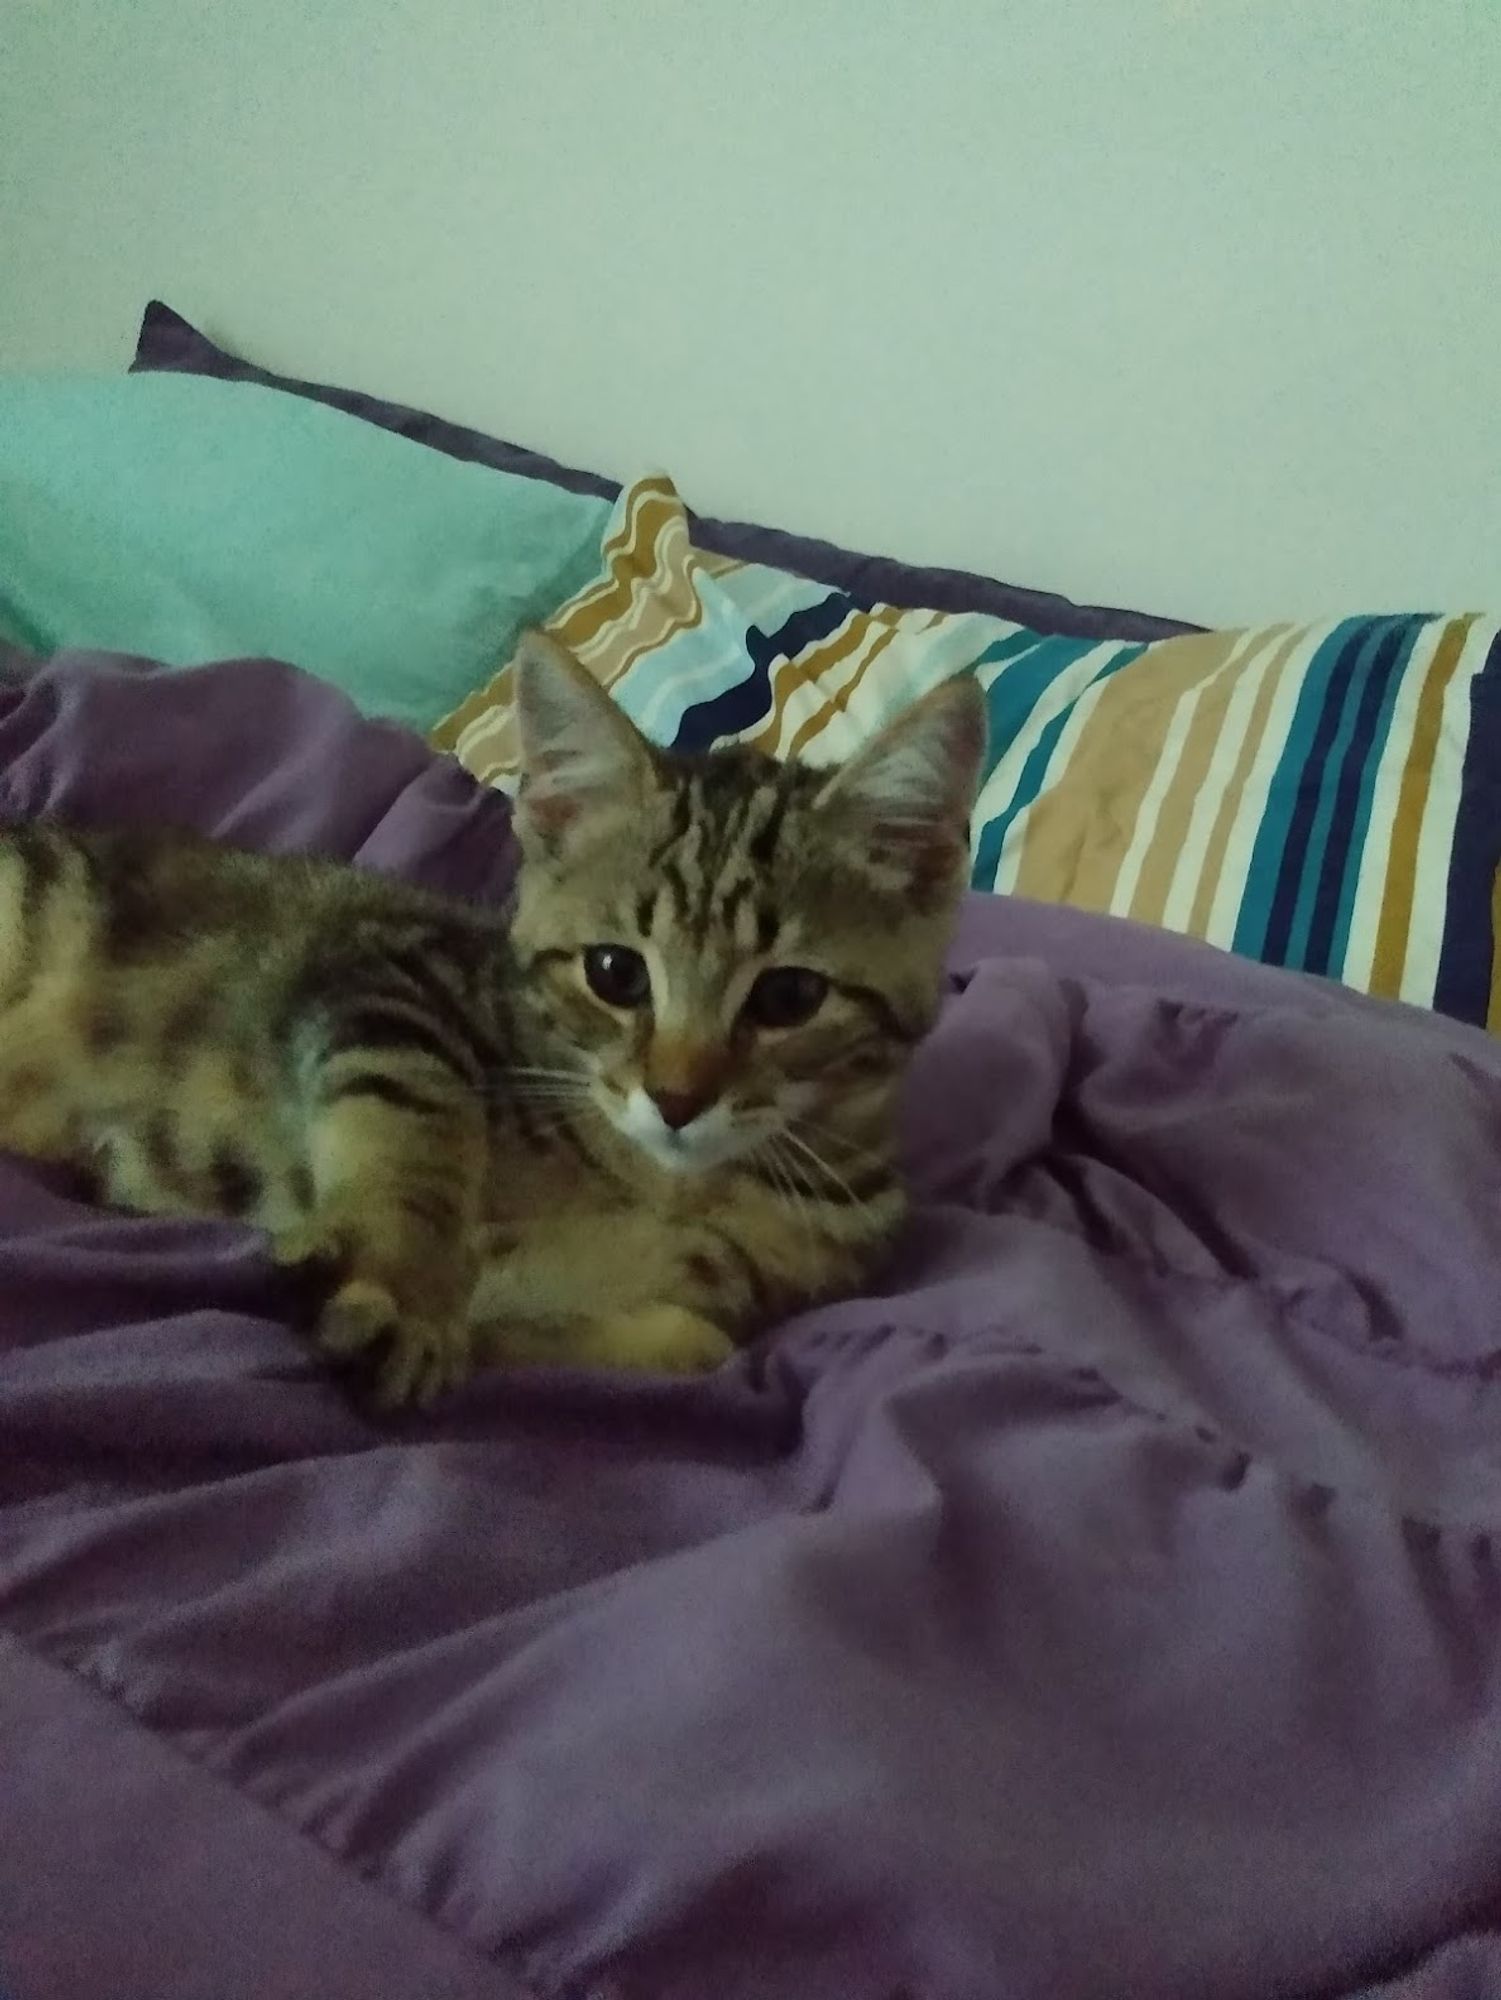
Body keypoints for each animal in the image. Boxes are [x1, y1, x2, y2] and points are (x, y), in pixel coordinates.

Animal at [0, 636, 988, 1408]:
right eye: (615, 973)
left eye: (788, 999)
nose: (675, 1098)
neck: (662, 1182)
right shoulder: (390, 973)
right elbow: (419, 1122)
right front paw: (406, 1284)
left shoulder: (741, 1295)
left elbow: (685, 1339)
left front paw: (491, 1327)